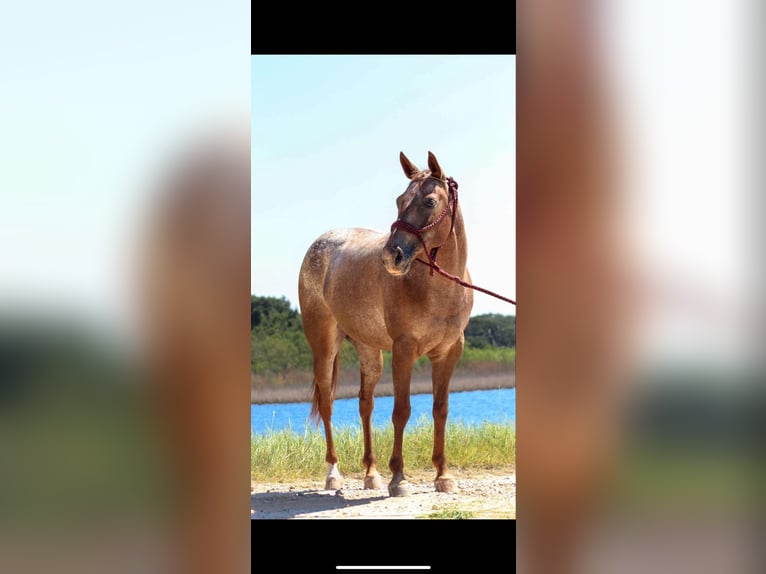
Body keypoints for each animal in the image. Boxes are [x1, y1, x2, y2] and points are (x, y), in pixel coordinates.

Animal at [298, 153, 474, 500]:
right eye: (399, 201)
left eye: (429, 201)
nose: (392, 256)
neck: (438, 287)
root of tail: (321, 243)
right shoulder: (404, 349)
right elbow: (401, 410)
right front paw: (400, 479)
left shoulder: (449, 352)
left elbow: (440, 409)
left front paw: (443, 475)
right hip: (323, 347)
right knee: (327, 404)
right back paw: (334, 474)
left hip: (369, 352)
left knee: (365, 405)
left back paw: (371, 473)